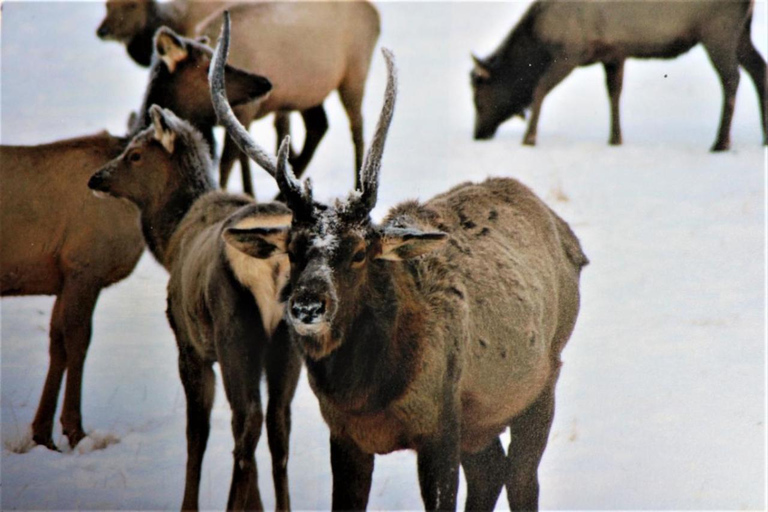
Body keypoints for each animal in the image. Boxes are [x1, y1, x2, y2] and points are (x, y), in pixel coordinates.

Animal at [1, 134, 145, 451]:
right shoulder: (85, 268)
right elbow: (78, 341)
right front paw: (75, 430)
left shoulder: (63, 278)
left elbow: (57, 344)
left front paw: (43, 433)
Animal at [88, 99, 302, 510]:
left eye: (135, 153)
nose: (97, 178)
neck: (170, 242)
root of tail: (274, 263)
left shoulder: (188, 344)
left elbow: (196, 434)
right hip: (289, 341)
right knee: (278, 423)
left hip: (234, 330)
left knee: (247, 419)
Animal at [212, 15, 588, 510]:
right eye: (292, 247)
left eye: (359, 252)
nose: (308, 306)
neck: (370, 395)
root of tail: (568, 236)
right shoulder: (346, 435)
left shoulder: (441, 425)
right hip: (483, 417)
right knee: (491, 472)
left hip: (542, 379)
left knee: (523, 478)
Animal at [471, 0, 767, 151]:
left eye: (479, 98)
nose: (478, 134)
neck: (541, 40)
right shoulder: (614, 53)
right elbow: (614, 93)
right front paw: (615, 138)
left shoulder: (571, 51)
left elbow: (539, 89)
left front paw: (529, 138)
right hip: (741, 31)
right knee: (759, 69)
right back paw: (763, 137)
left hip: (719, 30)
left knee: (731, 78)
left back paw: (721, 142)